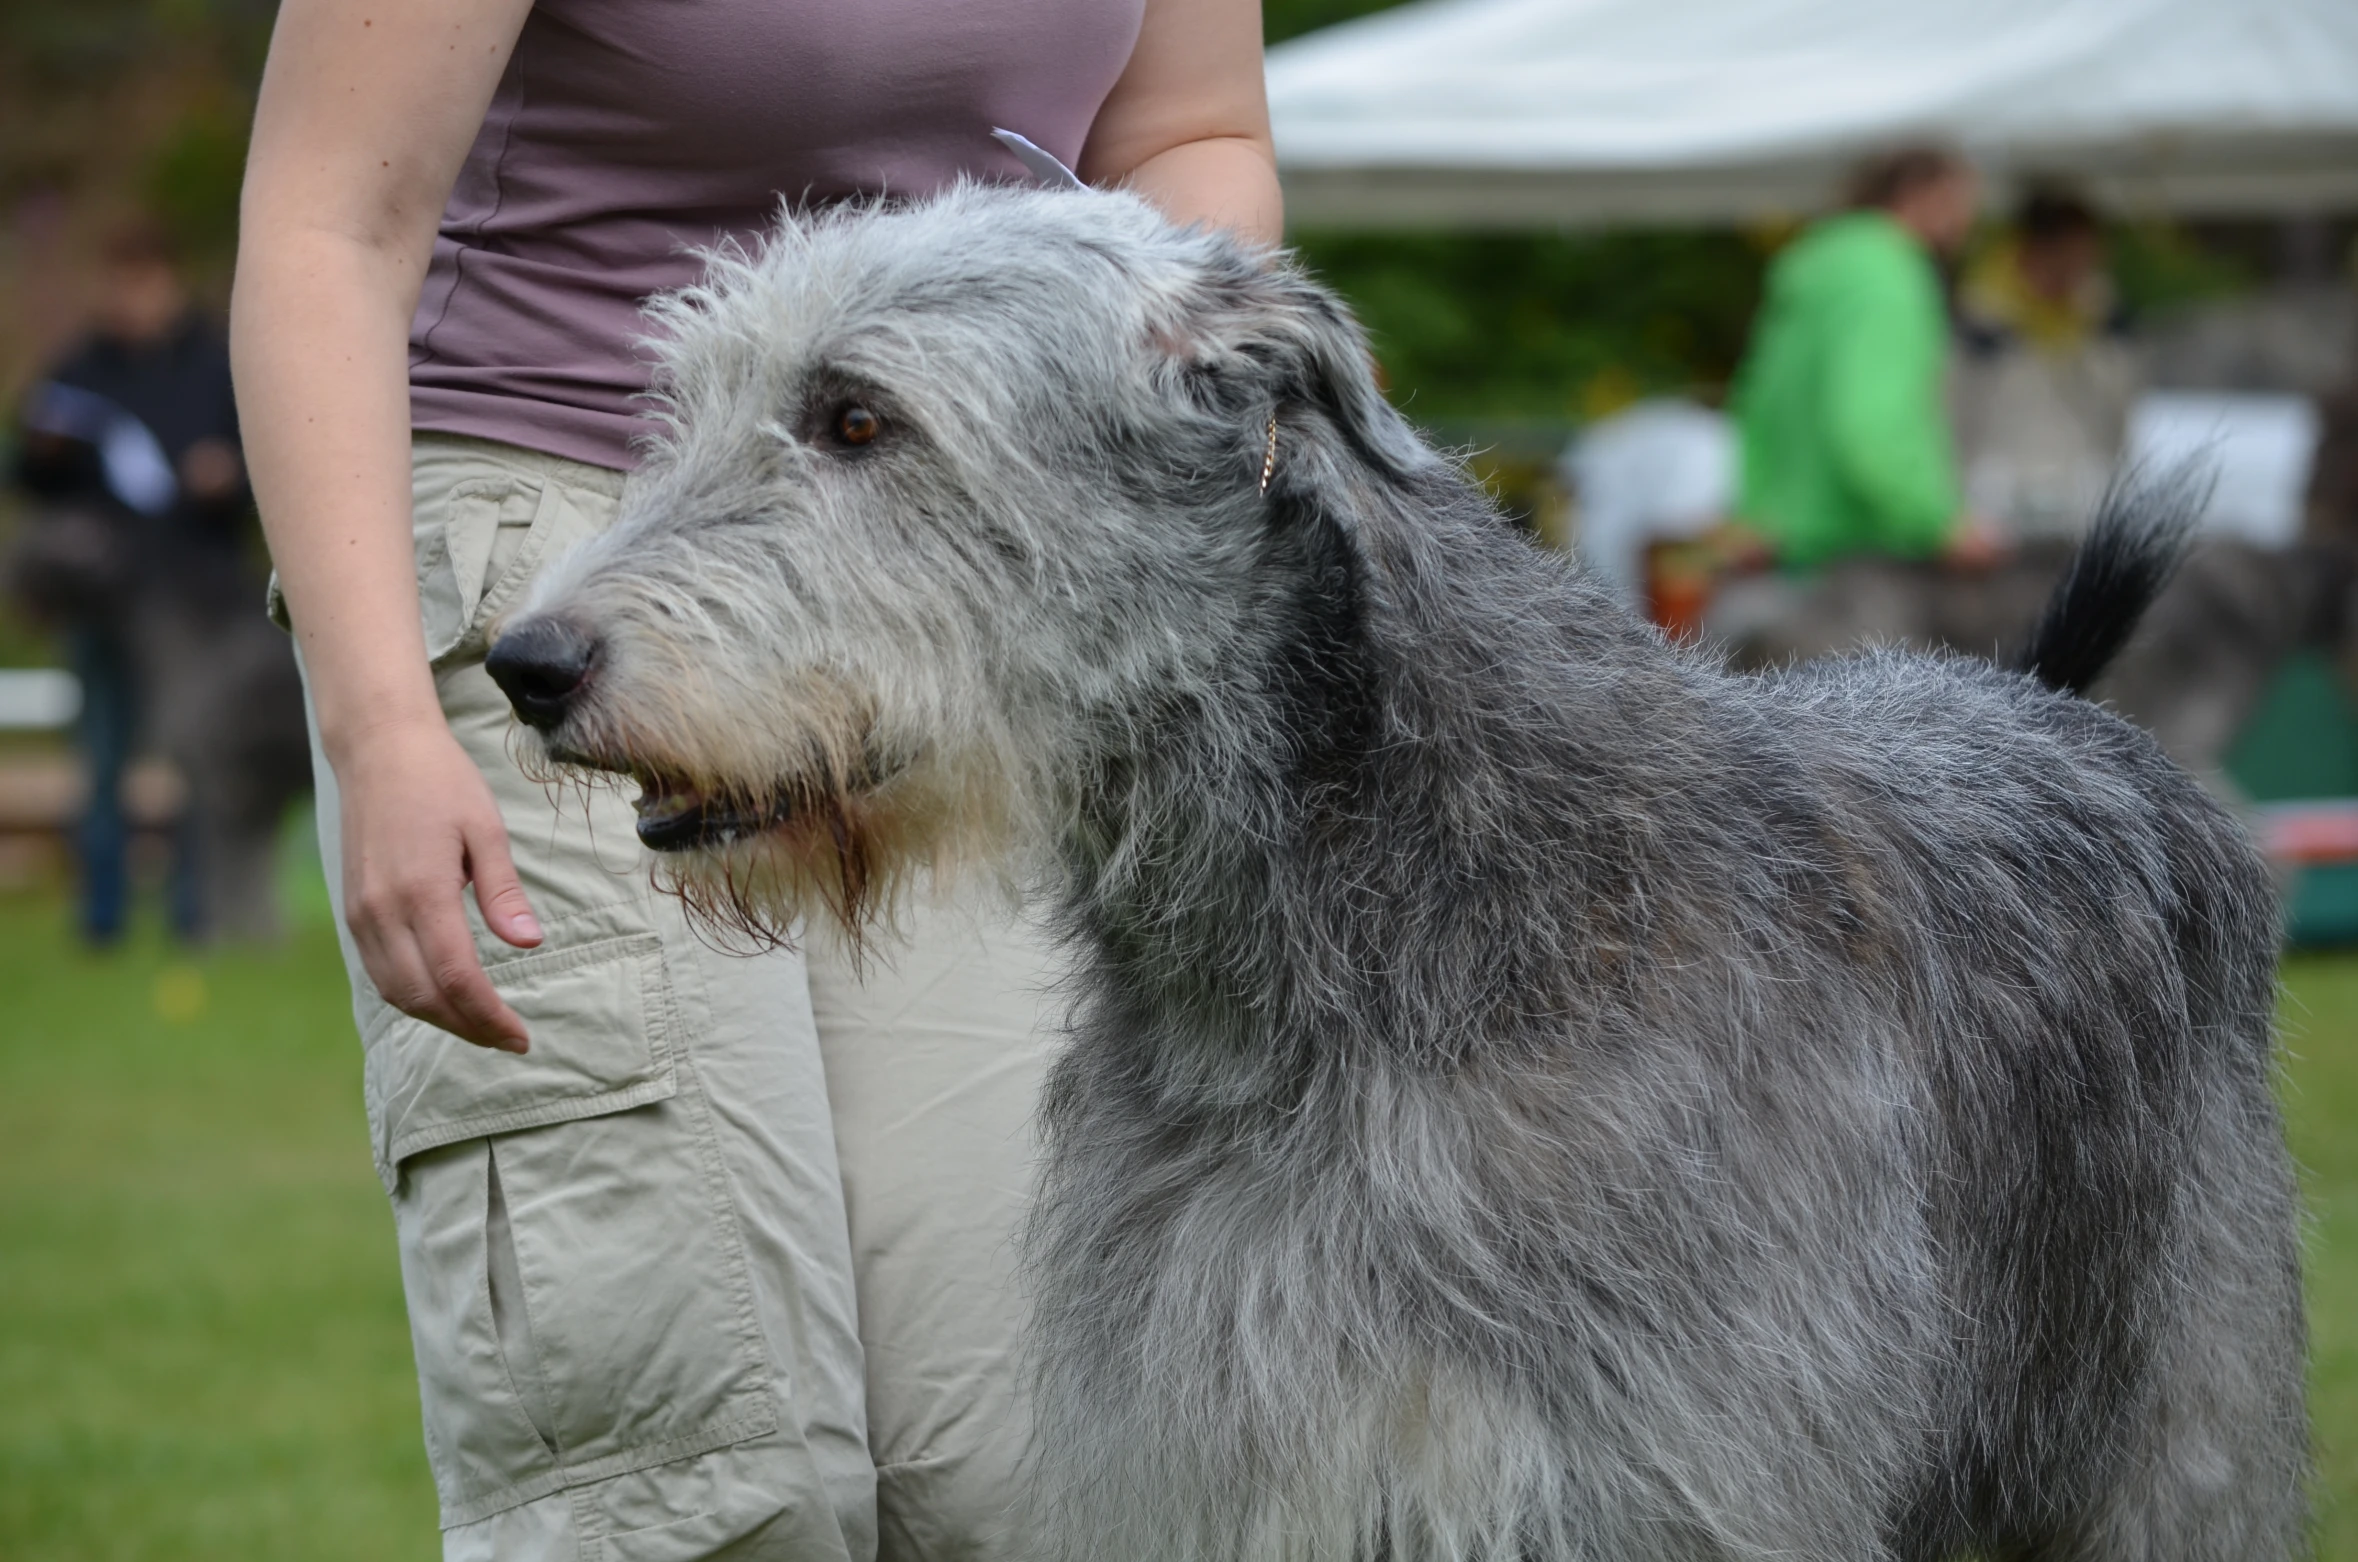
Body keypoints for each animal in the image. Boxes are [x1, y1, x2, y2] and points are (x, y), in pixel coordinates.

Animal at [488, 186, 2310, 1562]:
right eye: (691, 405)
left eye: (857, 415)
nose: (523, 661)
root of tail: (2051, 699)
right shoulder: (1212, 1456)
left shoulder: (1683, 1474)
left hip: (2178, 1428)